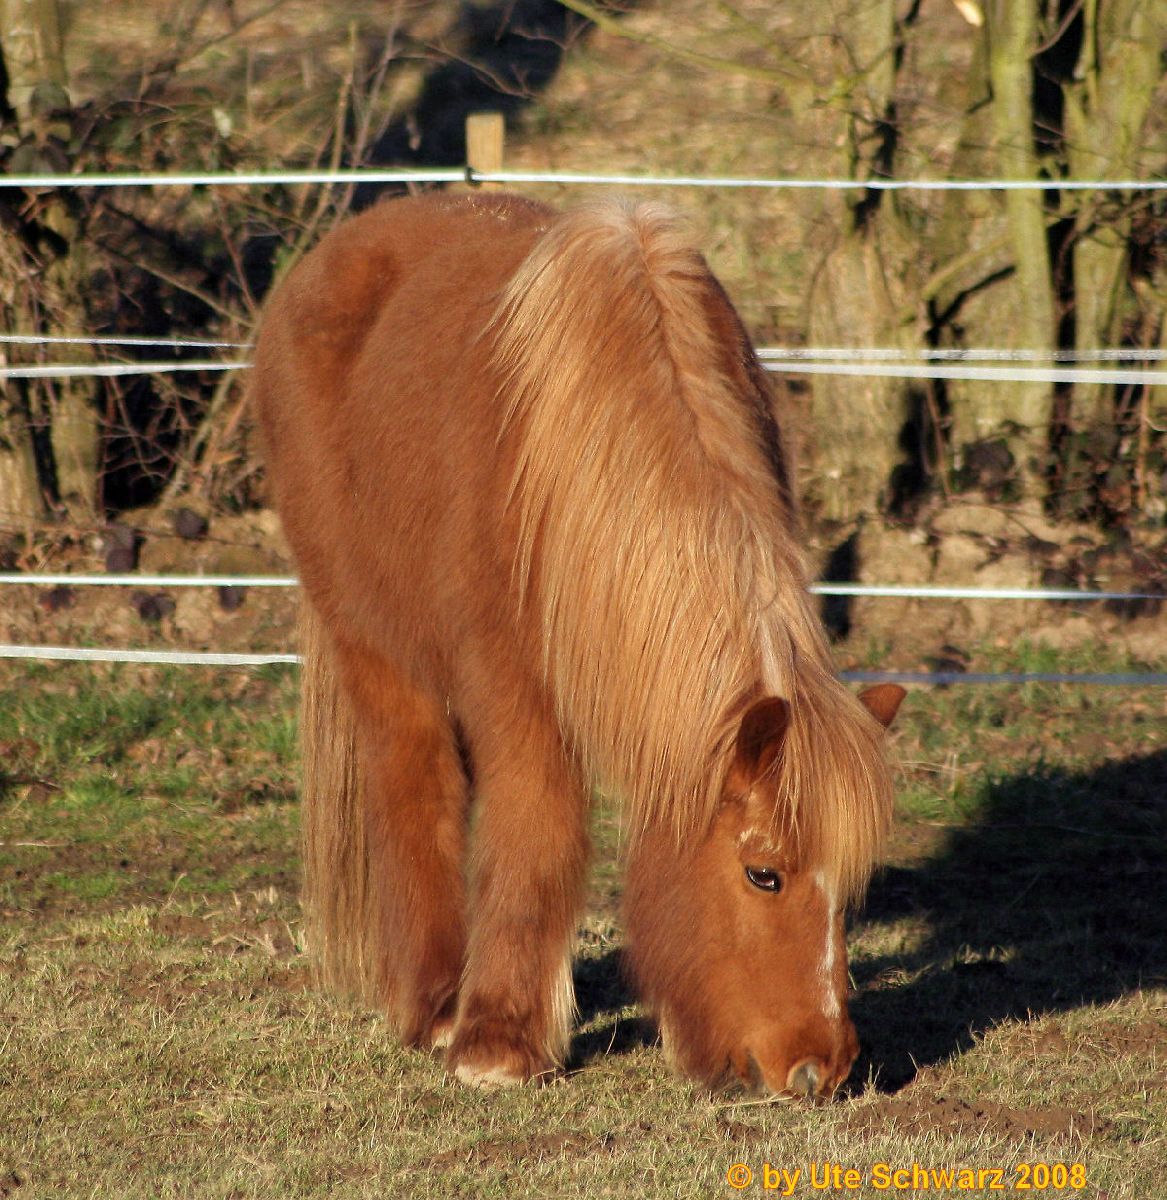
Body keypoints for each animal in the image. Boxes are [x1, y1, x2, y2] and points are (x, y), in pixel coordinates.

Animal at [255, 189, 902, 1099]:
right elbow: (536, 834)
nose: (823, 1067)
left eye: (849, 886)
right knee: (415, 787)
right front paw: (499, 1044)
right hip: (371, 639)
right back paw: (437, 1005)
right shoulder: (514, 690)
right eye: (762, 873)